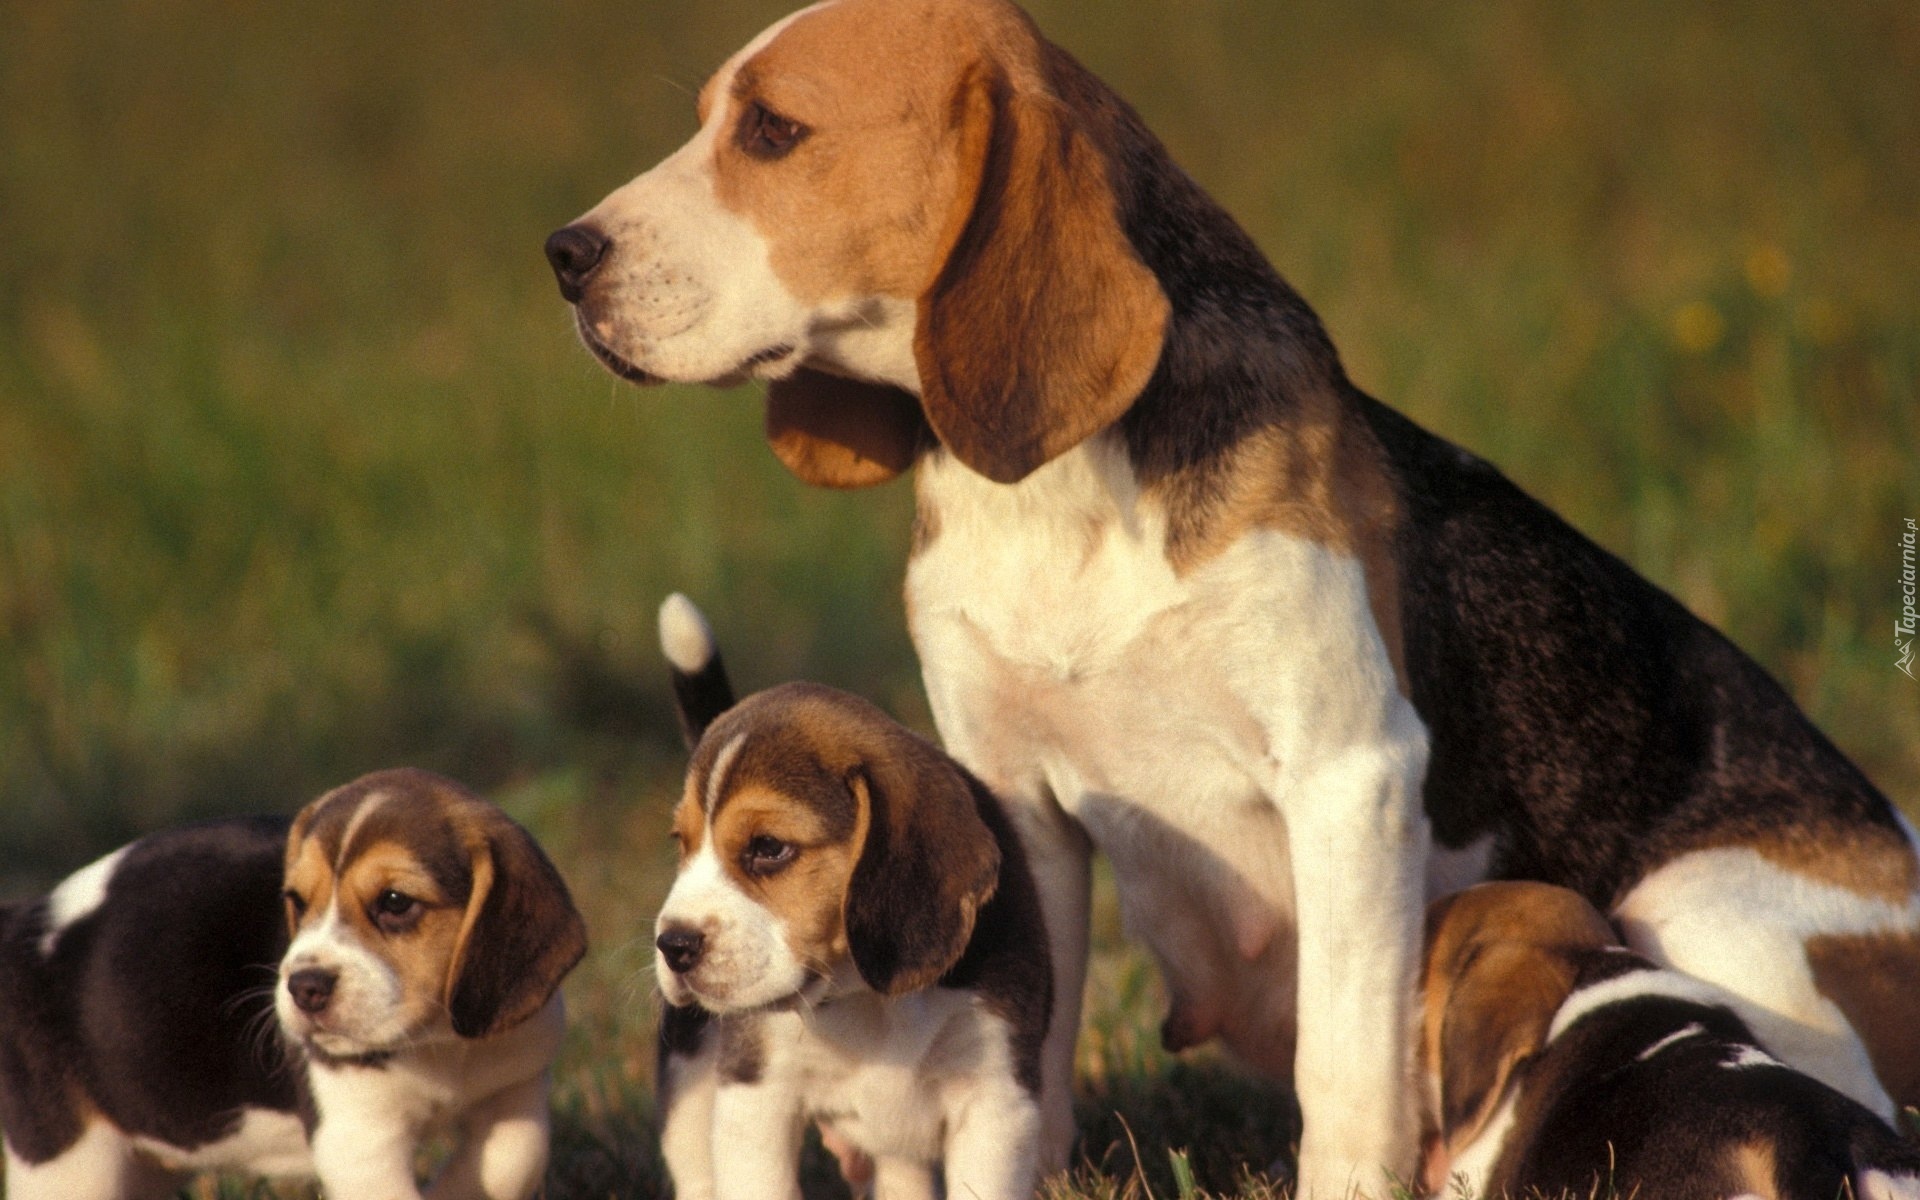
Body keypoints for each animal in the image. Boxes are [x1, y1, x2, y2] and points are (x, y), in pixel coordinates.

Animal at [0, 768, 587, 1198]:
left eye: (395, 903)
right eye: (297, 902)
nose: (305, 987)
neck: (440, 1044)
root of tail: (25, 922)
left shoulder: (516, 1084)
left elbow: (516, 1160)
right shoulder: (359, 1140)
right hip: (72, 1163)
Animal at [656, 591, 1052, 1198]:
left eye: (768, 847)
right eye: (682, 844)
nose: (673, 945)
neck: (864, 997)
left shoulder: (996, 1100)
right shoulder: (754, 1096)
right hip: (689, 1080)